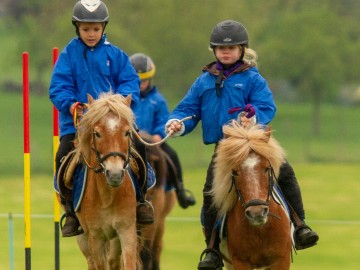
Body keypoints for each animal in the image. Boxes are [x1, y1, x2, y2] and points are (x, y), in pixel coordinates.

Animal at [72, 93, 139, 270]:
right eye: (97, 133)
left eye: (127, 132)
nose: (114, 174)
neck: (107, 196)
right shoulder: (95, 238)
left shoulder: (126, 230)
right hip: (84, 239)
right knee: (91, 262)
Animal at [211, 123, 292, 270]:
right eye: (235, 172)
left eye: (266, 168)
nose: (257, 213)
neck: (260, 231)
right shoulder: (240, 262)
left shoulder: (281, 260)